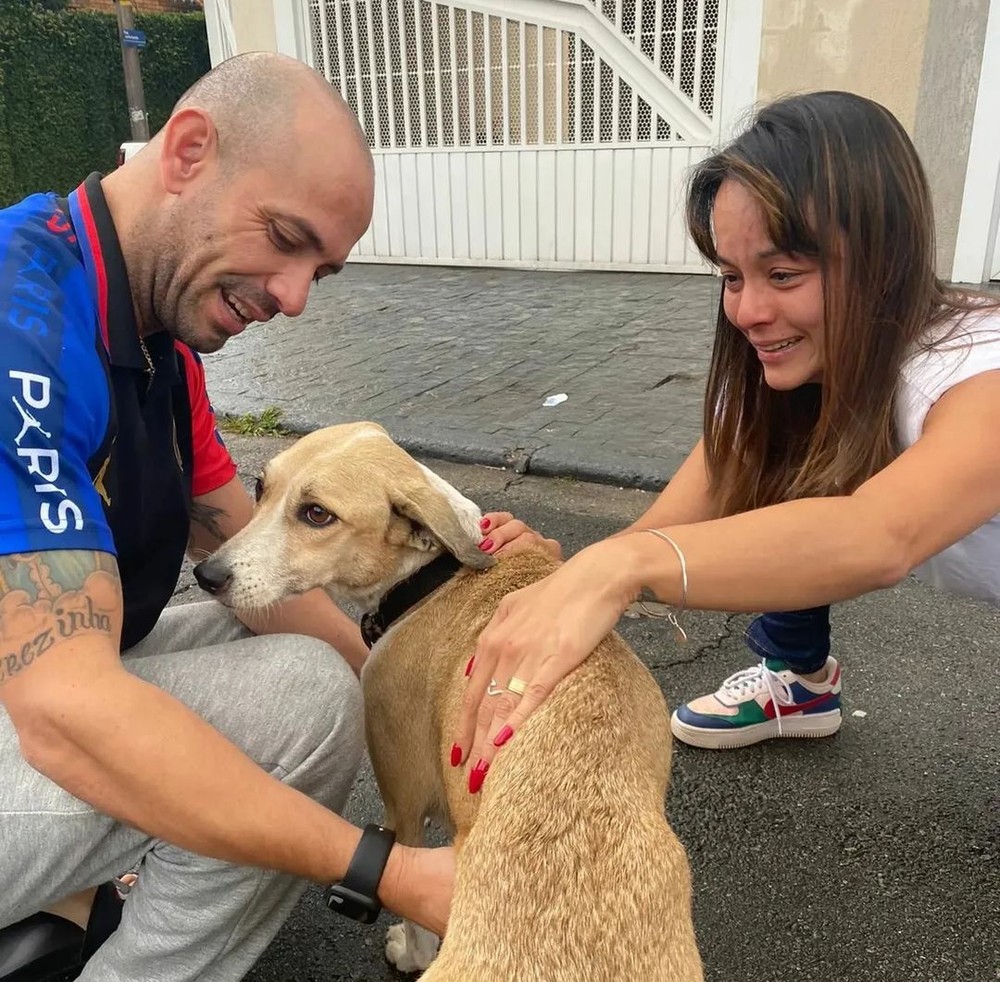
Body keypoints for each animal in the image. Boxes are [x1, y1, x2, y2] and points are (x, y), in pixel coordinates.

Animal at [195, 422, 704, 982]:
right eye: (260, 487)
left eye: (317, 515)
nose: (206, 575)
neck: (433, 574)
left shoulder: (404, 804)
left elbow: (411, 906)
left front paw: (409, 952)